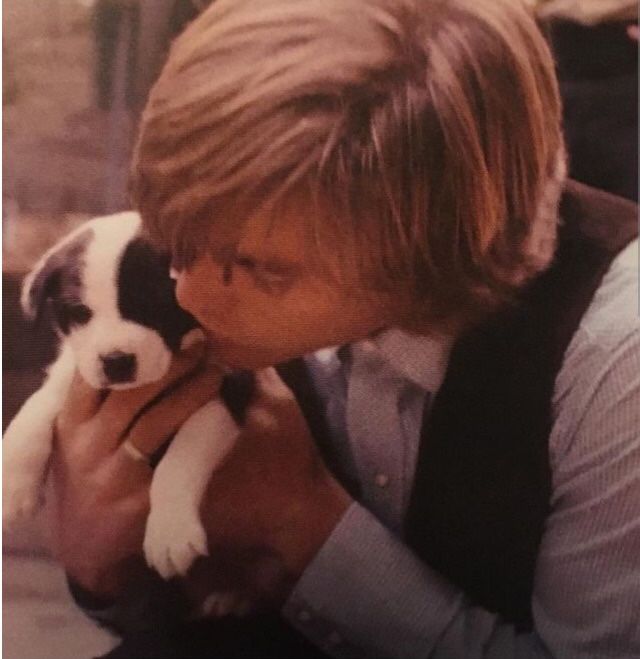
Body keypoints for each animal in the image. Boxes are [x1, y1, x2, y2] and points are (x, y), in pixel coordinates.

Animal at [2, 213, 248, 612]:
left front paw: (170, 530)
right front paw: (12, 483)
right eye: (80, 313)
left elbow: (183, 455)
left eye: (155, 302)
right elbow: (37, 406)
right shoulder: (77, 373)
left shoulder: (226, 390)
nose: (116, 361)